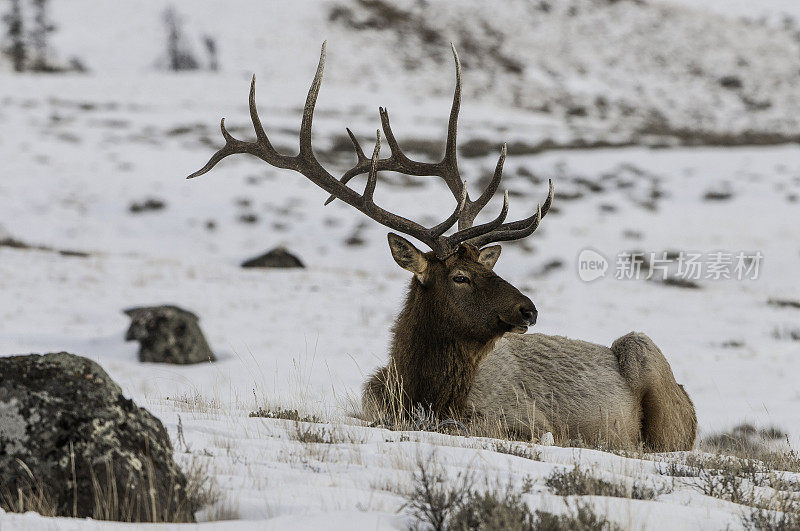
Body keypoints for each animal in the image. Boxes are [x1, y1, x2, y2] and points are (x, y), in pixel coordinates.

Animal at [186, 42, 692, 454]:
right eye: (460, 276)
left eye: (489, 269)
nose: (528, 309)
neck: (424, 394)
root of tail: (691, 405)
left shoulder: (519, 417)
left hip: (649, 366)